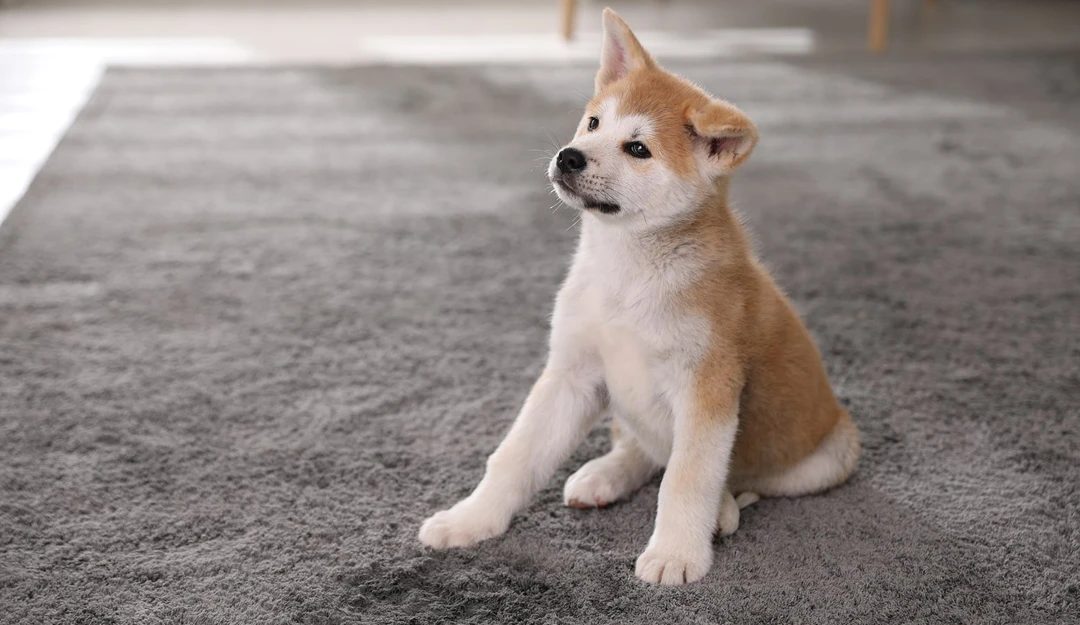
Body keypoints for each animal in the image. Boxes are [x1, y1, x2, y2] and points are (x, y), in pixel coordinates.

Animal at [418, 8, 860, 586]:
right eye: (593, 123)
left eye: (638, 149)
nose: (569, 157)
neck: (626, 273)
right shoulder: (573, 373)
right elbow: (514, 456)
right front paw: (471, 518)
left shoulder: (706, 388)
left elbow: (687, 479)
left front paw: (676, 553)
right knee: (641, 448)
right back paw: (605, 474)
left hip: (828, 456)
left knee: (731, 478)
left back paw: (721, 509)